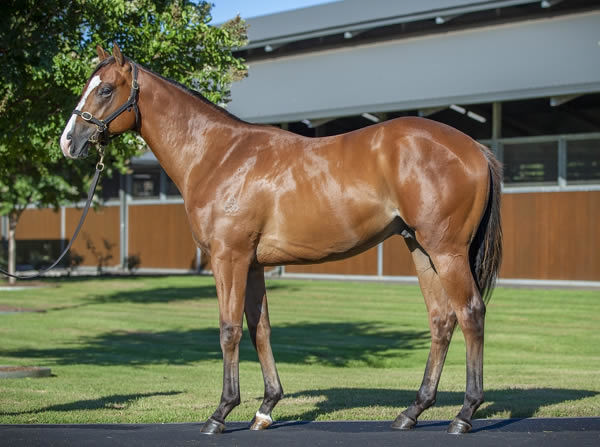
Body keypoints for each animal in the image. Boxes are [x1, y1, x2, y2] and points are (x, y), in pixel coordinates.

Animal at [59, 43, 502, 436]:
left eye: (105, 89)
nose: (68, 141)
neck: (219, 156)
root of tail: (474, 148)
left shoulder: (229, 258)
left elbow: (229, 329)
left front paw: (221, 412)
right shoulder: (253, 263)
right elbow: (261, 329)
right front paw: (266, 408)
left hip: (446, 251)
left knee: (470, 313)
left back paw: (464, 414)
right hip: (421, 249)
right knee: (441, 319)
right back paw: (412, 411)